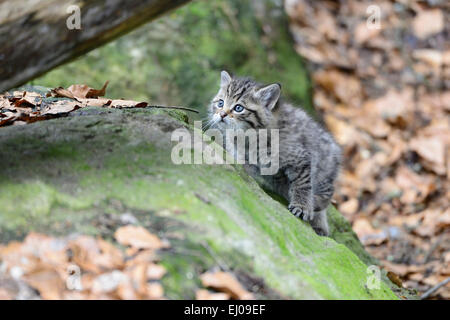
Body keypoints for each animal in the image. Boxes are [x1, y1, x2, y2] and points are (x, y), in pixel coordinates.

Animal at [207, 71, 342, 236]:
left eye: (238, 108)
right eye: (220, 103)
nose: (221, 114)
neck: (248, 137)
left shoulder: (301, 158)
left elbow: (302, 184)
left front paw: (302, 206)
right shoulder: (246, 160)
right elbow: (245, 172)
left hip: (325, 166)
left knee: (327, 192)